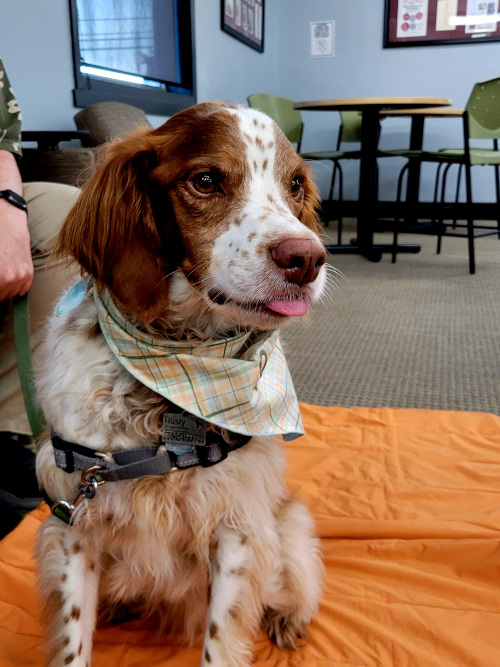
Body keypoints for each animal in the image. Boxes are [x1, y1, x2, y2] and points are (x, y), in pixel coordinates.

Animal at [34, 102, 326, 667]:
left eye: (295, 184)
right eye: (206, 180)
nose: (307, 259)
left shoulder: (236, 526)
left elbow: (220, 639)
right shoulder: (74, 521)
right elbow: (75, 637)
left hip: (286, 529)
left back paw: (288, 619)